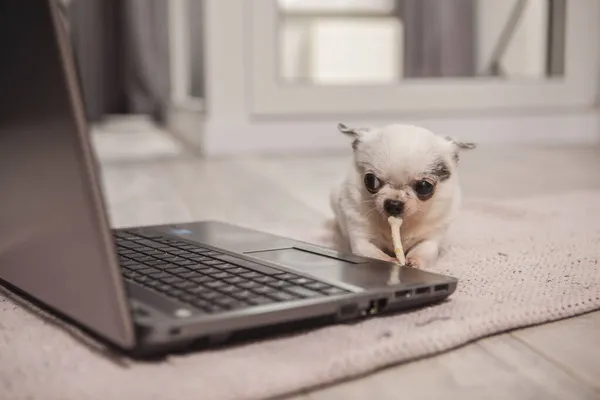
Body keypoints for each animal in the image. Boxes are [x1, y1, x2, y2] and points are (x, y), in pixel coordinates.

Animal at [330, 123, 476, 268]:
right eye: (371, 180)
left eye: (425, 186)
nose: (393, 204)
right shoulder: (361, 240)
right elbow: (373, 254)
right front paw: (390, 260)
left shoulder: (430, 240)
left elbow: (423, 251)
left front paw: (414, 261)